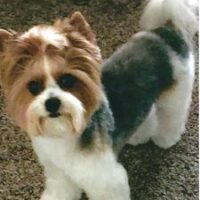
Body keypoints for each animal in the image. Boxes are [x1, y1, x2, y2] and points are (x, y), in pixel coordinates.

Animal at [0, 0, 198, 199]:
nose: (52, 103)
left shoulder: (103, 178)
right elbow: (61, 188)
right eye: (33, 86)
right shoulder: (59, 172)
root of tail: (165, 32)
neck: (65, 132)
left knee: (172, 116)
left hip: (177, 92)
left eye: (67, 80)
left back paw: (166, 138)